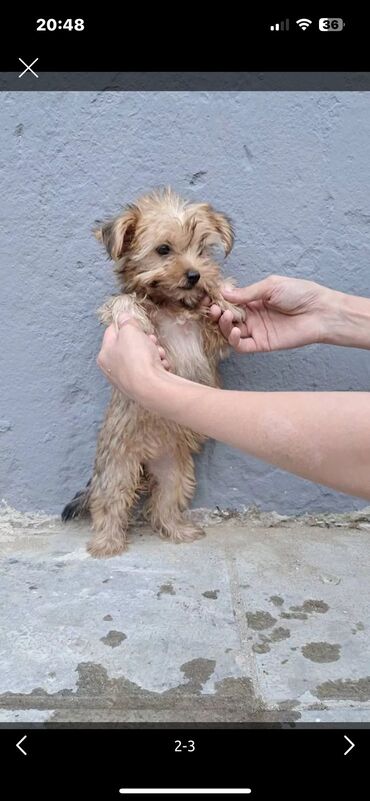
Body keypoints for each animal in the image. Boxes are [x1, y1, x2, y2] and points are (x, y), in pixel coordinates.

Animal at [62, 186, 244, 556]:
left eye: (201, 249)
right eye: (163, 249)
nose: (195, 275)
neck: (172, 305)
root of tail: (148, 460)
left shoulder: (210, 341)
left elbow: (220, 318)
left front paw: (226, 297)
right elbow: (122, 303)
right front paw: (134, 316)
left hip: (174, 473)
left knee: (164, 505)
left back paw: (178, 530)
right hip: (117, 469)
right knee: (109, 506)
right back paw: (106, 543)